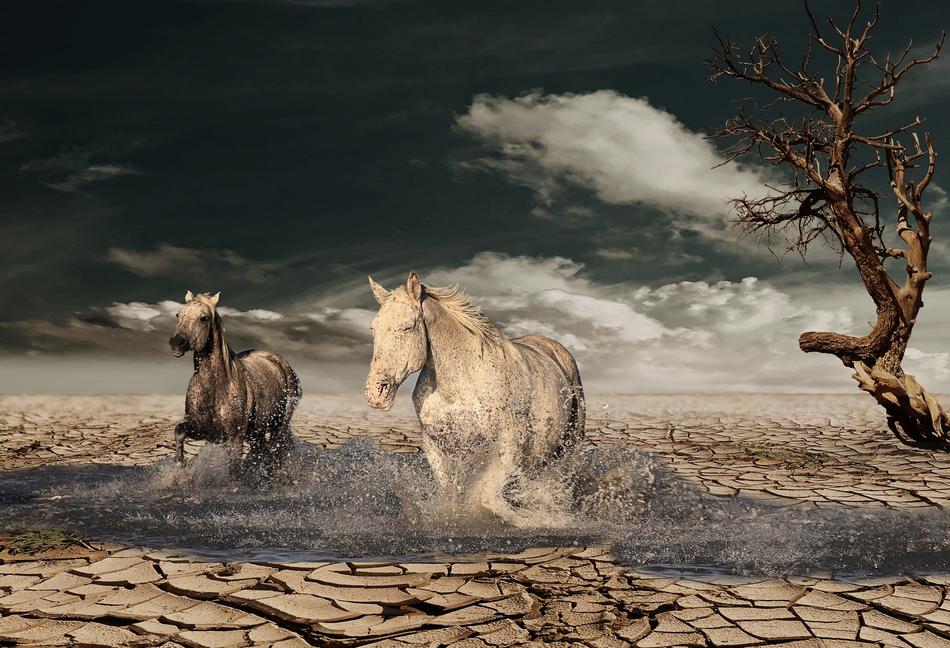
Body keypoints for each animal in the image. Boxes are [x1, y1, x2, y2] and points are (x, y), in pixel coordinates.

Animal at [168, 291, 301, 477]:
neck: (216, 388)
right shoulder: (203, 429)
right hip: (257, 432)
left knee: (273, 450)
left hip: (279, 425)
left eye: (203, 318)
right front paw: (180, 464)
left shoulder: (235, 438)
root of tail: (280, 361)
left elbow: (233, 468)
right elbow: (179, 431)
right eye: (178, 315)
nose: (176, 343)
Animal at [364, 271, 585, 518]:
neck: (460, 387)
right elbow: (452, 494)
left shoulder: (510, 442)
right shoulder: (437, 446)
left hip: (569, 445)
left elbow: (488, 496)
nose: (376, 393)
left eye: (407, 327)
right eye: (373, 328)